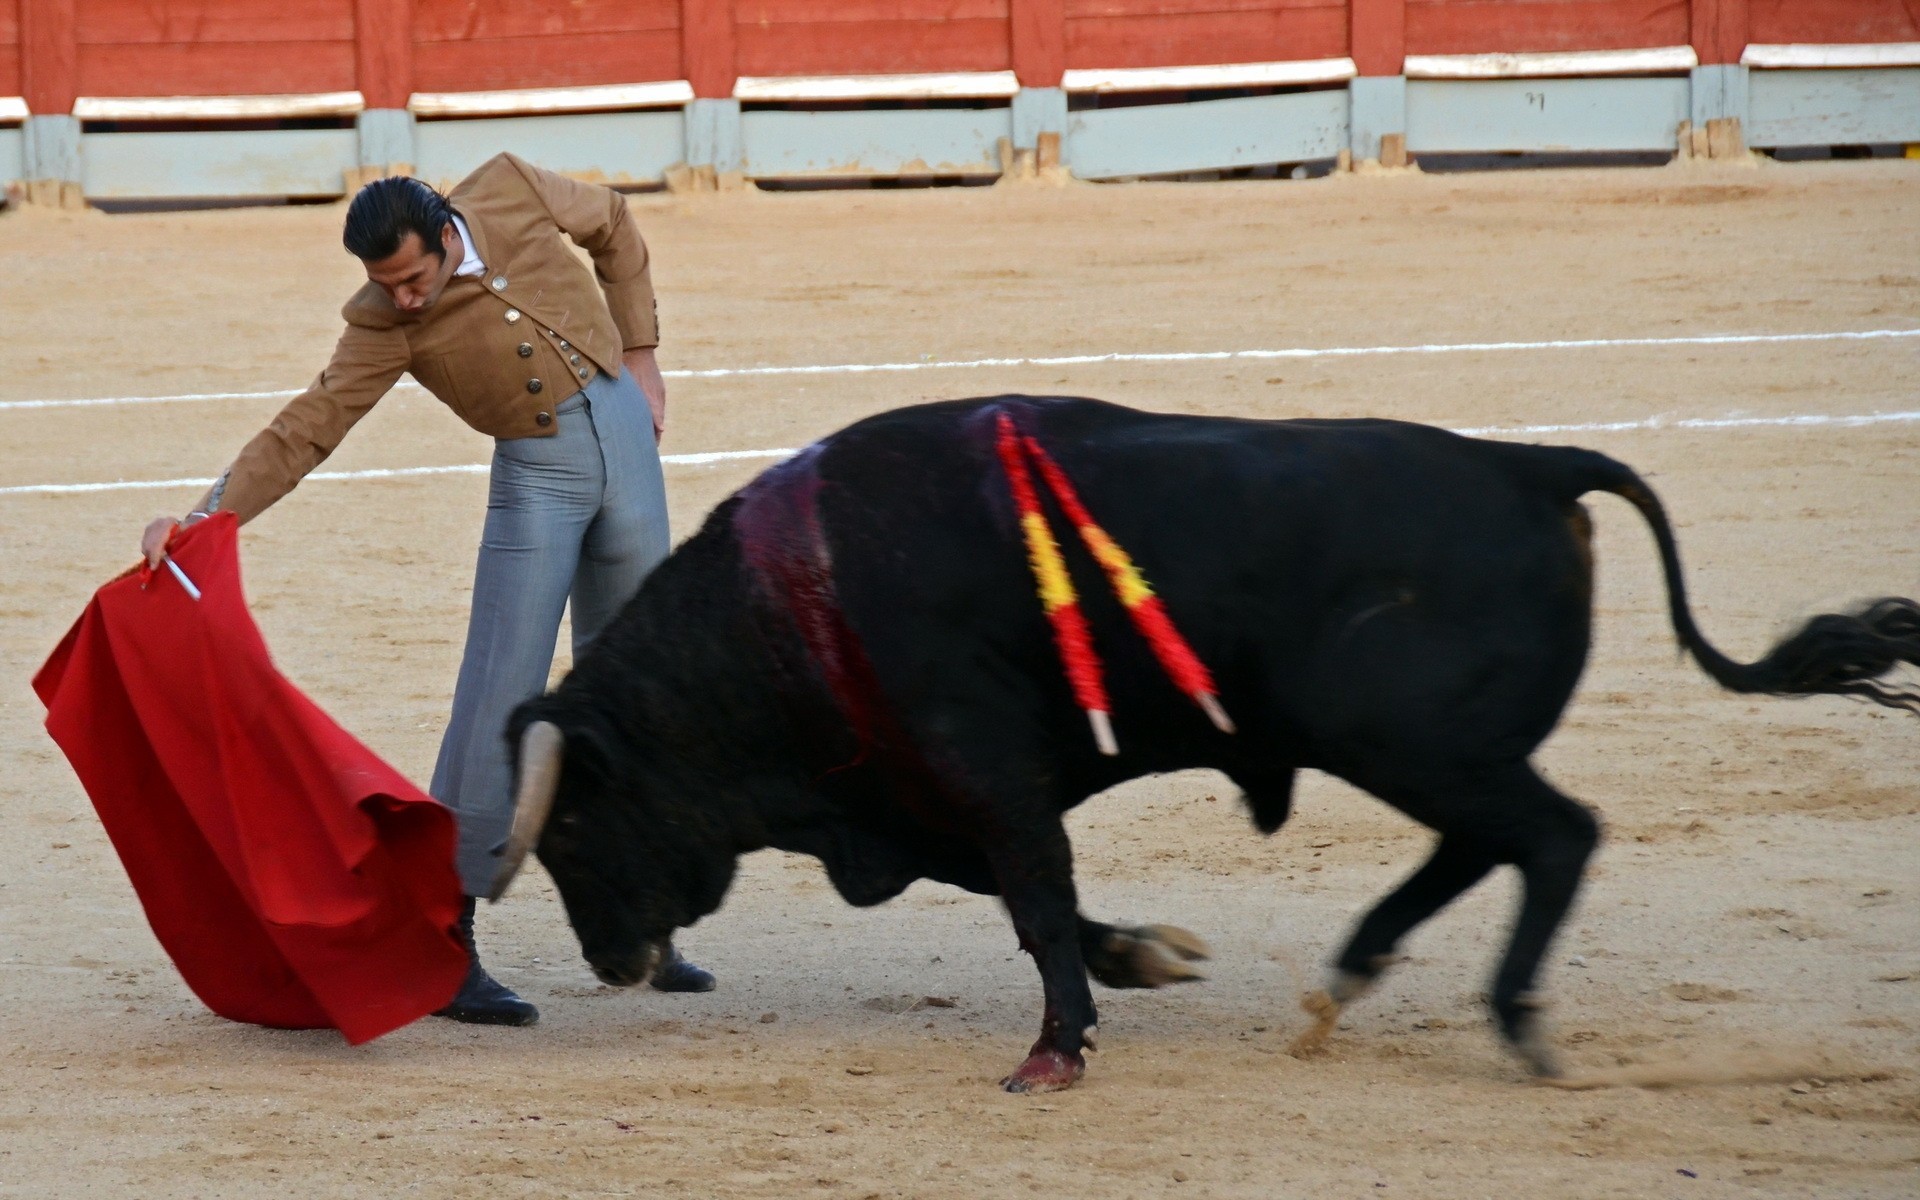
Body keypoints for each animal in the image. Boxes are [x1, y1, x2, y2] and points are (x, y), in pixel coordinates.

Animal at [487, 397, 1912, 1090]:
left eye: (571, 827)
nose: (611, 963)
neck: (796, 607)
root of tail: (1531, 466)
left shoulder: (979, 765)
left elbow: (1033, 896)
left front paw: (1054, 1051)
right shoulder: (925, 794)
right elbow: (1020, 892)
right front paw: (1141, 964)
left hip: (1410, 743)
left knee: (1554, 836)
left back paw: (1517, 1026)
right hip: (1421, 752)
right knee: (1491, 844)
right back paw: (1352, 977)